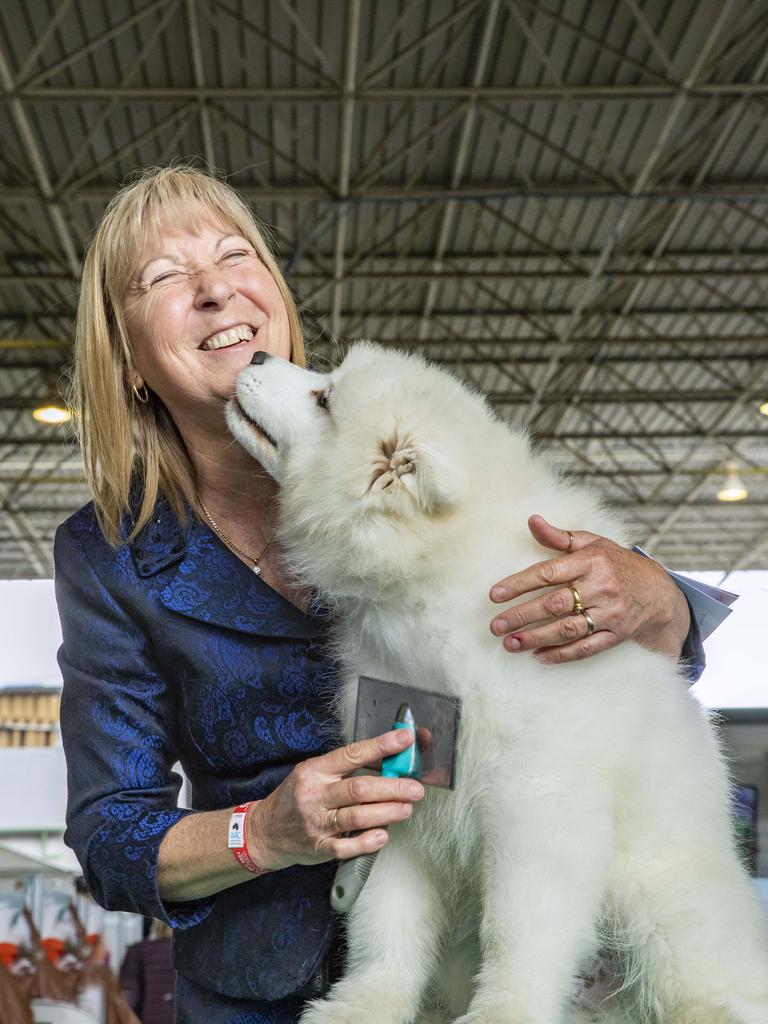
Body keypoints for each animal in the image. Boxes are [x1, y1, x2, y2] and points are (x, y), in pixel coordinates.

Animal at [228, 344, 768, 1024]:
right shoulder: (403, 800)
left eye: (323, 398)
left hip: (663, 908)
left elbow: (517, 927)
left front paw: (503, 1010)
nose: (254, 352)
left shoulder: (535, 800)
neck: (429, 585)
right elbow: (387, 926)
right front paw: (360, 1006)